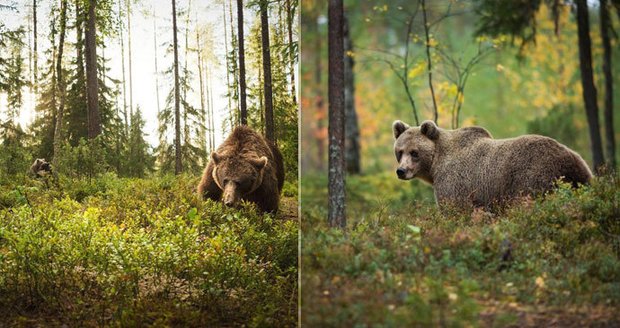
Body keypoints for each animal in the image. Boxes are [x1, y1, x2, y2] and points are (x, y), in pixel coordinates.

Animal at [392, 119, 592, 209]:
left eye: (414, 152)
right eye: (400, 151)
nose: (401, 171)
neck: (434, 167)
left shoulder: (453, 182)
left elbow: (454, 208)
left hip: (532, 178)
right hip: (581, 177)